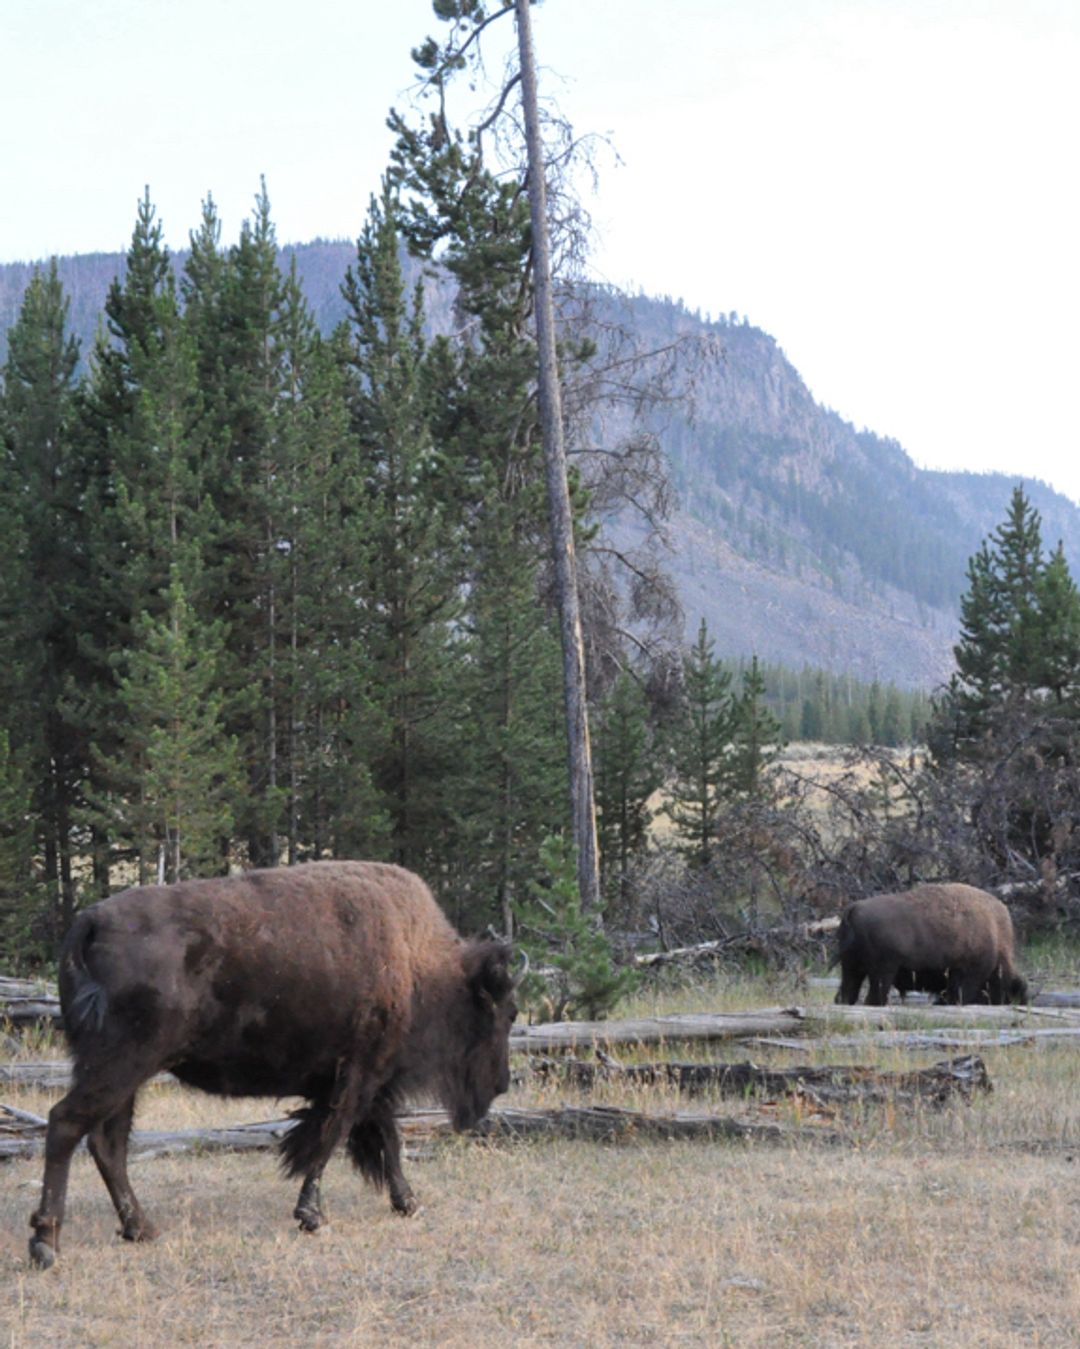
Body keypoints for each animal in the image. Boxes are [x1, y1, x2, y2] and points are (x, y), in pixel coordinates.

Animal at [29, 861, 520, 1269]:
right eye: (507, 1013)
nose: (501, 1084)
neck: (418, 959)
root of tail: (91, 921)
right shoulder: (360, 1075)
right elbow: (332, 1139)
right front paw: (311, 1216)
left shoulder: (365, 1081)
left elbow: (385, 1140)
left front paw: (407, 1203)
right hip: (122, 1064)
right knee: (67, 1124)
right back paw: (46, 1244)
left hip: (119, 1074)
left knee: (107, 1143)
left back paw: (142, 1229)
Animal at [833, 882, 1027, 1007]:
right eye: (1014, 990)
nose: (1020, 1001)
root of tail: (854, 907)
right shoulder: (967, 976)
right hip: (882, 973)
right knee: (873, 998)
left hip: (852, 968)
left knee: (846, 994)